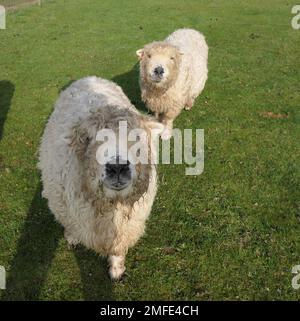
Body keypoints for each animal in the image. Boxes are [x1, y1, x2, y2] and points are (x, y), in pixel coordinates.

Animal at [39, 76, 164, 278]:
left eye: (137, 137)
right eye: (88, 139)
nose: (117, 166)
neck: (112, 207)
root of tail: (89, 77)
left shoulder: (124, 228)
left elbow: (118, 249)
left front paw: (116, 268)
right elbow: (71, 226)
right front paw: (72, 237)